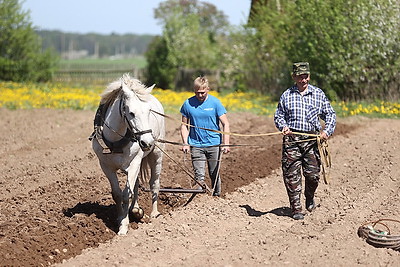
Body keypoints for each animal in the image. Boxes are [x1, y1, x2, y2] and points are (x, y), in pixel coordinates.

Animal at [91, 73, 165, 234]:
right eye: (131, 113)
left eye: (149, 111)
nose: (147, 142)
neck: (115, 141)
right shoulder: (106, 166)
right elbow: (118, 194)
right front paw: (120, 218)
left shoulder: (134, 163)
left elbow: (126, 194)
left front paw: (124, 226)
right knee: (135, 184)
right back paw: (136, 209)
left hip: (156, 155)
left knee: (154, 183)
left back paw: (154, 213)